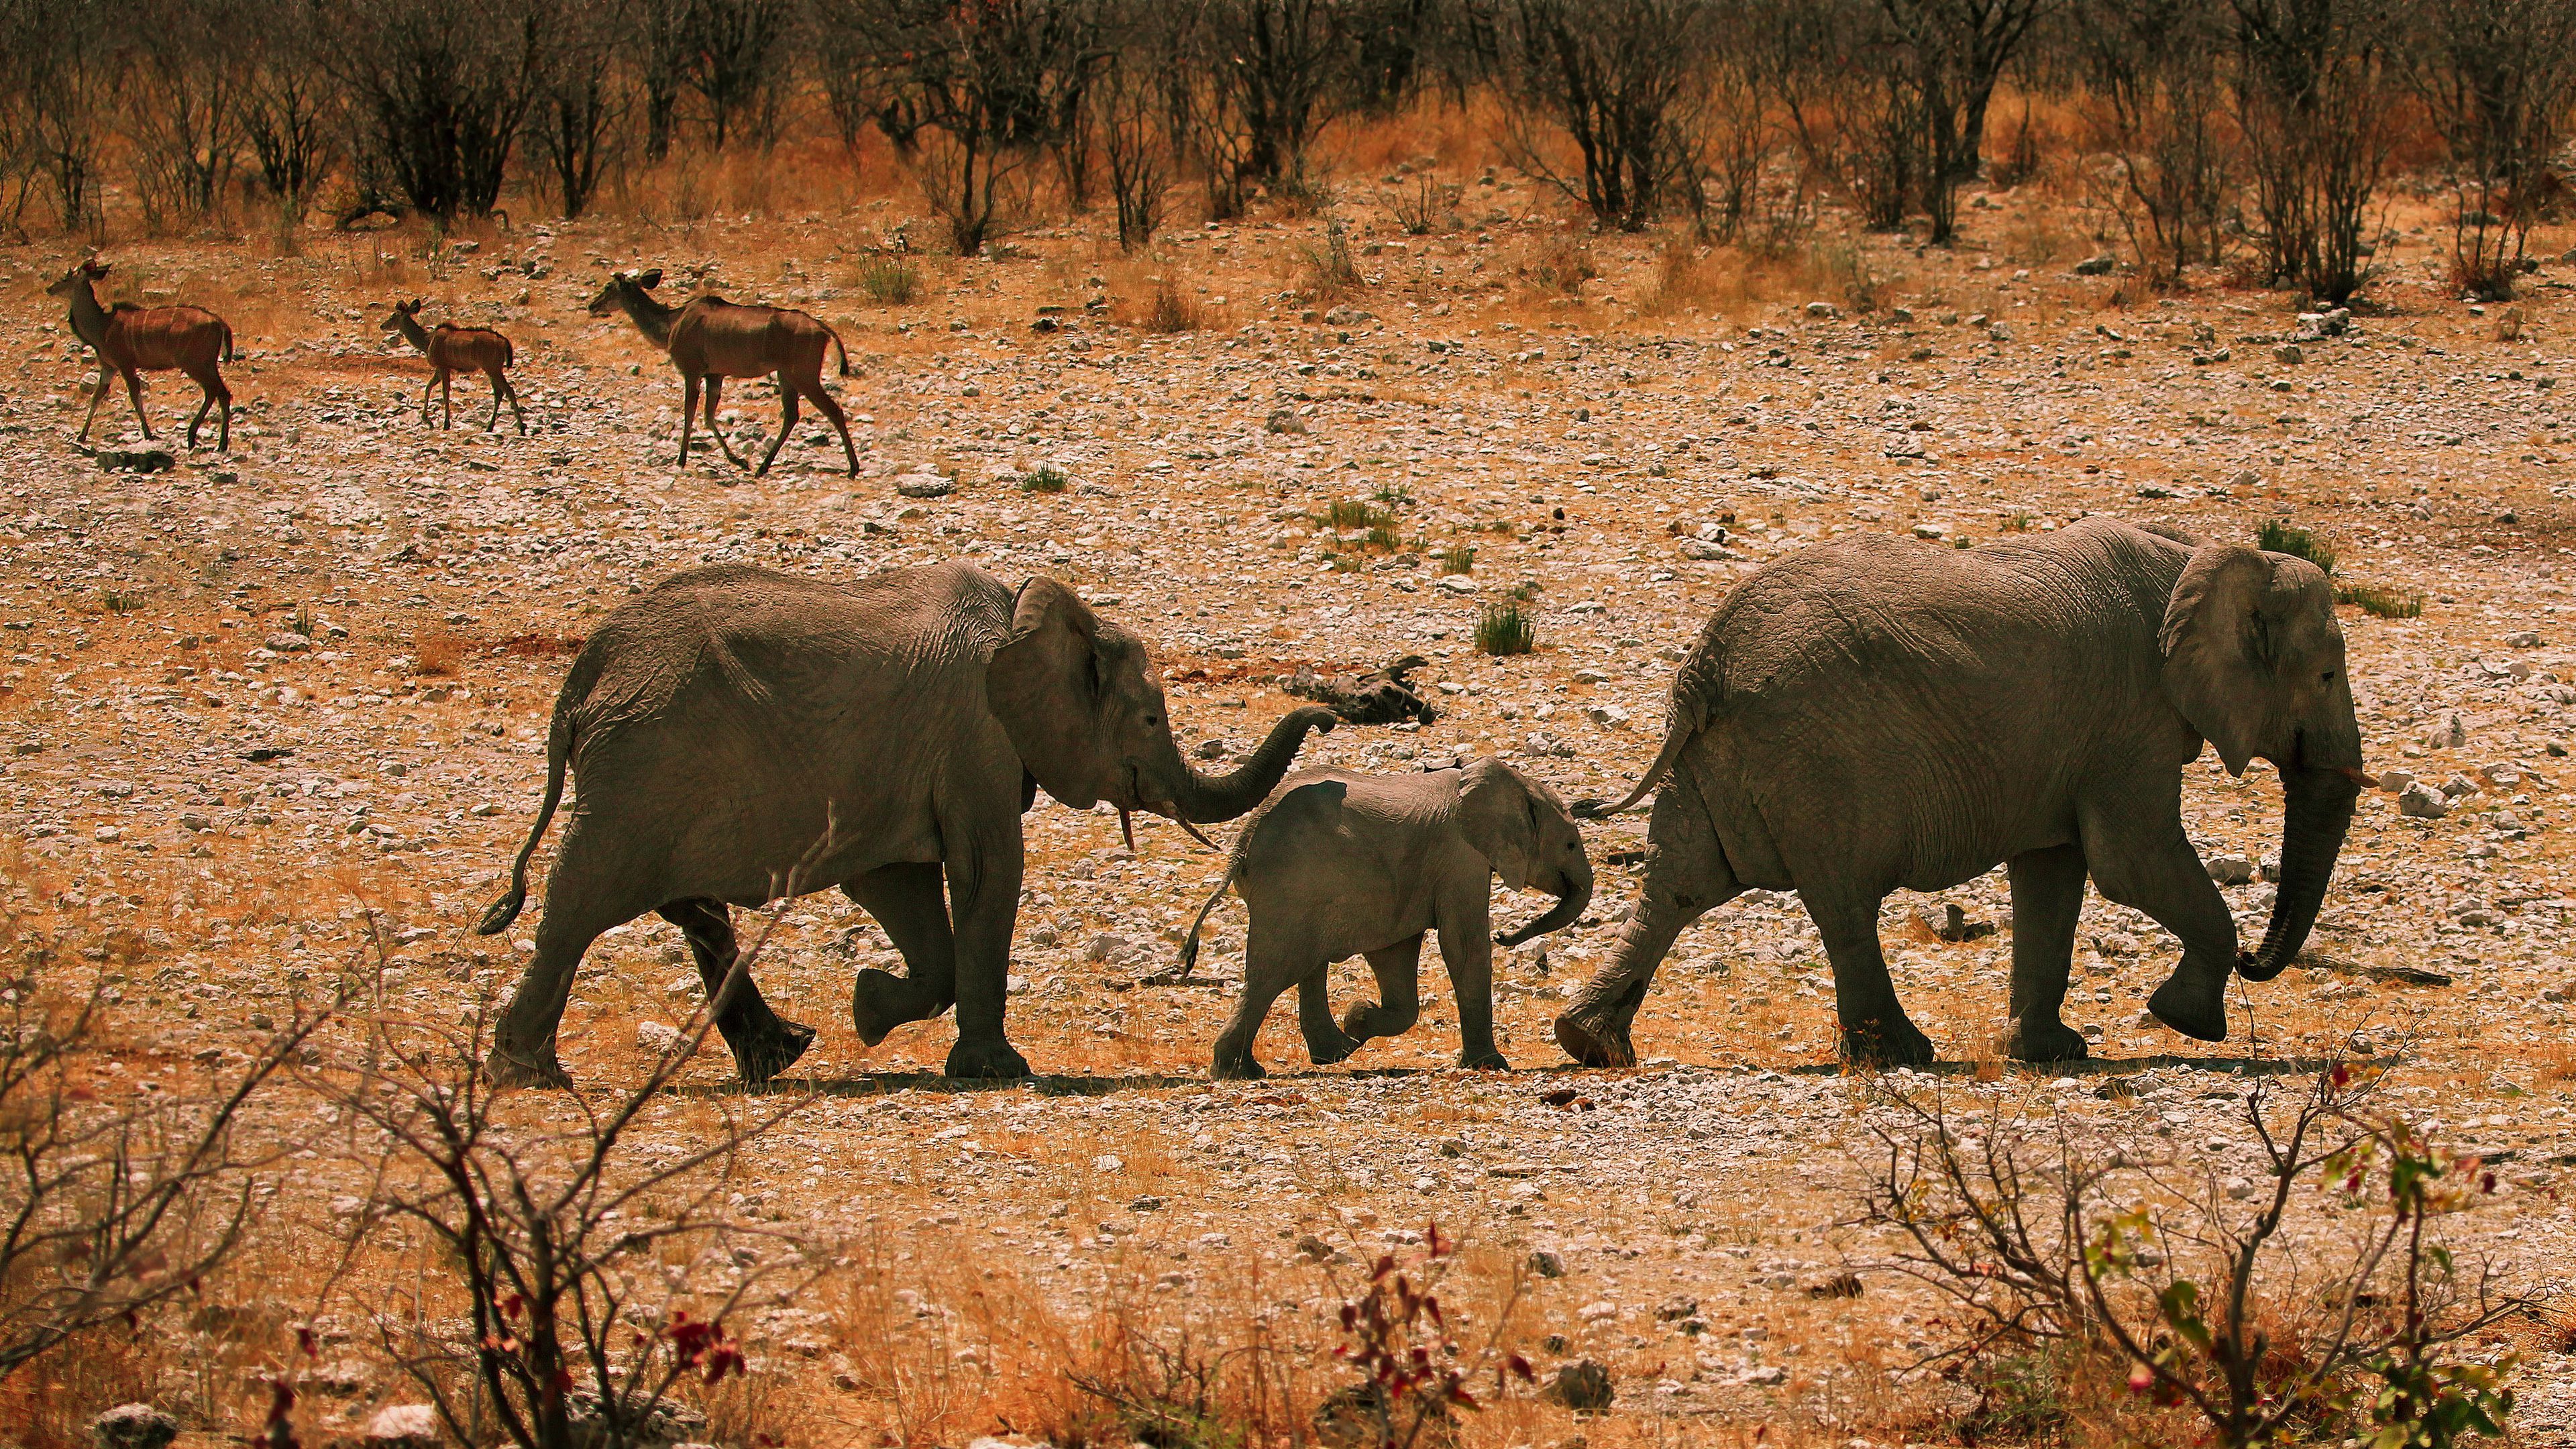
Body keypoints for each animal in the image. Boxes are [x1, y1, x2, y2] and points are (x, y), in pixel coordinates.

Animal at [473, 561, 1338, 1085]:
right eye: (1152, 719)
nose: (1331, 714)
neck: (1028, 614)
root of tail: (582, 677)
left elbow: (904, 891)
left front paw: (867, 1008)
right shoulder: (976, 737)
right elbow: (988, 873)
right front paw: (997, 1070)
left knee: (690, 908)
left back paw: (781, 1055)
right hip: (643, 768)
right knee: (583, 900)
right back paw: (529, 1073)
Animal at [1175, 757, 1593, 1079]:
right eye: (1570, 844)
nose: (1507, 935)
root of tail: (1245, 838)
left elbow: (1397, 953)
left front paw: (1359, 1018)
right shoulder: (1461, 857)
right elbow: (1463, 945)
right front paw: (1491, 1065)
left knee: (1304, 965)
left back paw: (1328, 1052)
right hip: (1291, 886)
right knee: (1275, 971)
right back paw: (1239, 1071)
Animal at [1556, 517, 2368, 1068]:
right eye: (2328, 675)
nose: (2257, 963)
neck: (2199, 556)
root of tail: (1707, 664)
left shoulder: (2073, 744)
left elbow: (2053, 874)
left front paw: (2052, 1053)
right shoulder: (2128, 724)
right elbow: (2129, 863)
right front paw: (2187, 1023)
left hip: (1725, 757)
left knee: (1680, 885)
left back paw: (1589, 1044)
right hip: (1816, 758)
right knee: (1844, 903)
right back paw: (1904, 1055)